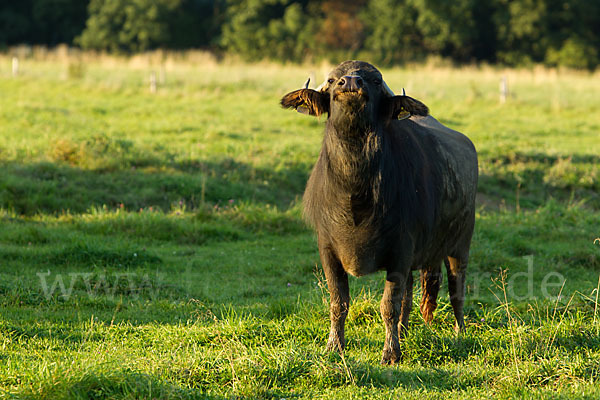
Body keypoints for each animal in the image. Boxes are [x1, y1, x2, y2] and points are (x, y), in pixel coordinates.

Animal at [282, 61, 478, 364]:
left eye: (374, 80)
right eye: (333, 79)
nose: (351, 82)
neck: (355, 194)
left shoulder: (400, 250)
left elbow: (389, 305)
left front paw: (390, 353)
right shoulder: (328, 250)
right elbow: (339, 302)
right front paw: (334, 346)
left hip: (460, 246)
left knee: (457, 290)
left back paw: (459, 332)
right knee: (410, 296)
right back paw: (405, 333)